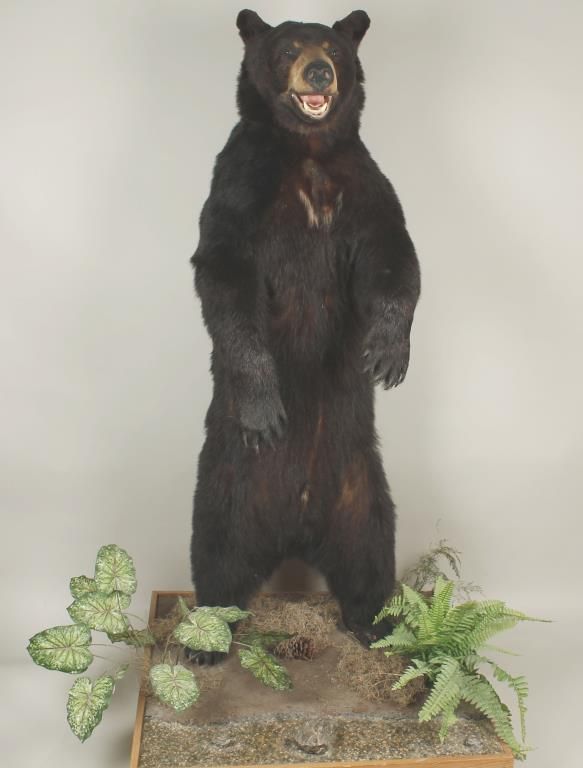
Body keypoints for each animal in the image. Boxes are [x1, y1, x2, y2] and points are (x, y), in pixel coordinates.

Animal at [188, 9, 420, 665]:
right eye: (288, 46)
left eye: (334, 48)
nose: (318, 71)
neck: (308, 152)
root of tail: (294, 528)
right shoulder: (240, 183)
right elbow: (223, 272)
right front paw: (265, 402)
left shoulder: (364, 184)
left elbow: (394, 255)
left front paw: (389, 351)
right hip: (228, 481)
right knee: (216, 553)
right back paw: (207, 639)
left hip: (361, 491)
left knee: (371, 553)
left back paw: (374, 626)